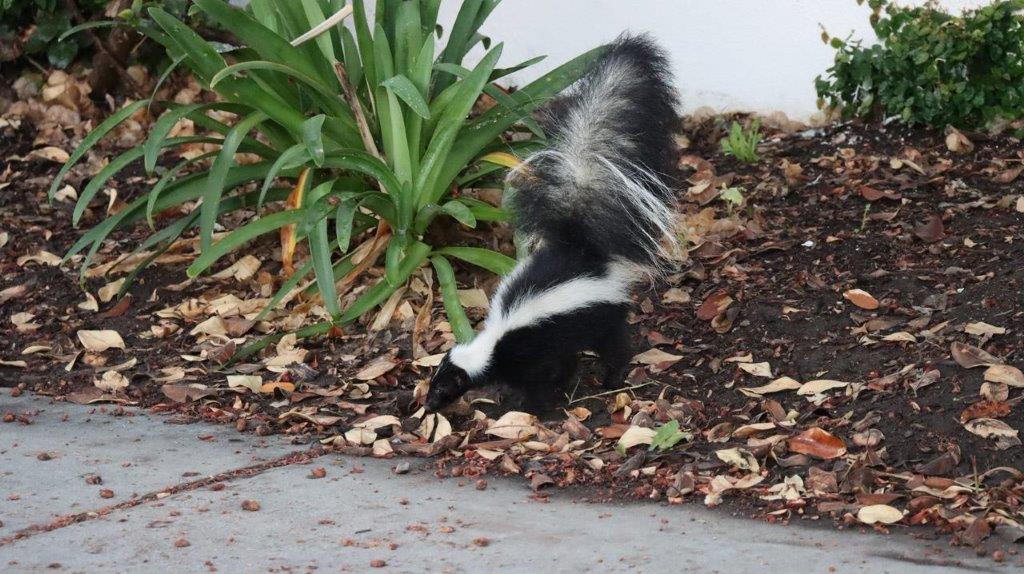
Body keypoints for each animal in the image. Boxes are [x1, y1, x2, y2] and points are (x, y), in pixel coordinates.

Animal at [423, 34, 679, 411]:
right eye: (433, 383)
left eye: (442, 389)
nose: (427, 405)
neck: (493, 345)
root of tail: (580, 251)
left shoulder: (533, 351)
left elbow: (545, 377)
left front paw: (538, 407)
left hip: (601, 316)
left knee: (615, 344)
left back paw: (613, 377)